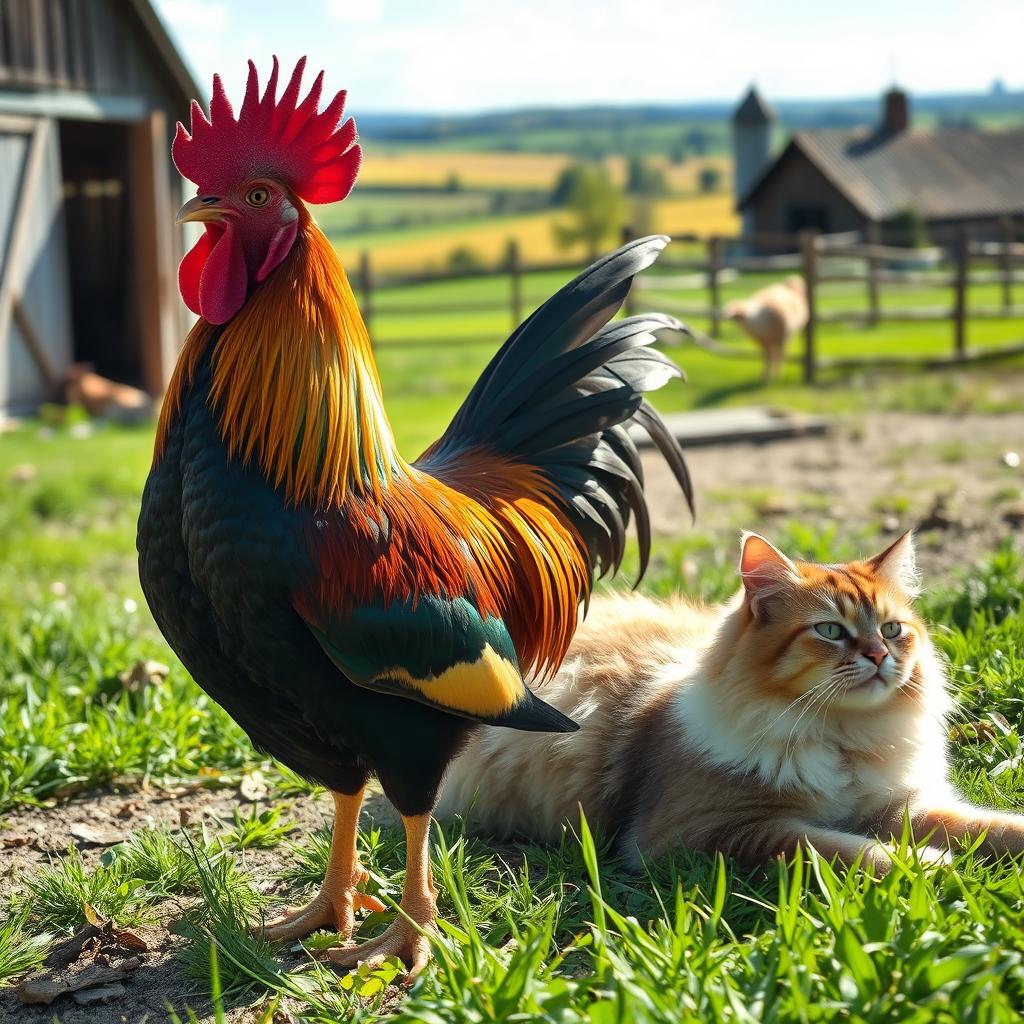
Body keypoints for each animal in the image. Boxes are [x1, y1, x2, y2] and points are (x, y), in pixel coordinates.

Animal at [438, 528, 1024, 872]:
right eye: (830, 630)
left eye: (893, 628)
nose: (880, 655)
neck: (843, 736)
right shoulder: (710, 832)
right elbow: (837, 848)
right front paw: (928, 863)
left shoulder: (899, 806)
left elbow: (988, 827)